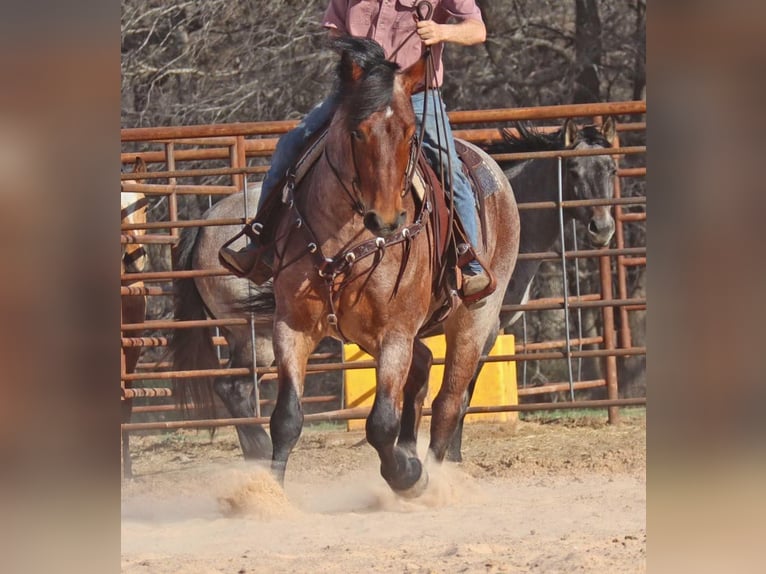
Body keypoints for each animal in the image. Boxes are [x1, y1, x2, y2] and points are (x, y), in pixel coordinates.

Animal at [240, 38, 520, 500]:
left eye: (409, 133)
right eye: (356, 131)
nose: (386, 219)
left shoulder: (394, 333)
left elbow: (381, 423)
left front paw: (408, 476)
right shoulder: (293, 325)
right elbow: (286, 418)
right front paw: (268, 496)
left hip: (474, 318)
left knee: (448, 402)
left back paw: (433, 475)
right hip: (368, 332)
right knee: (423, 367)